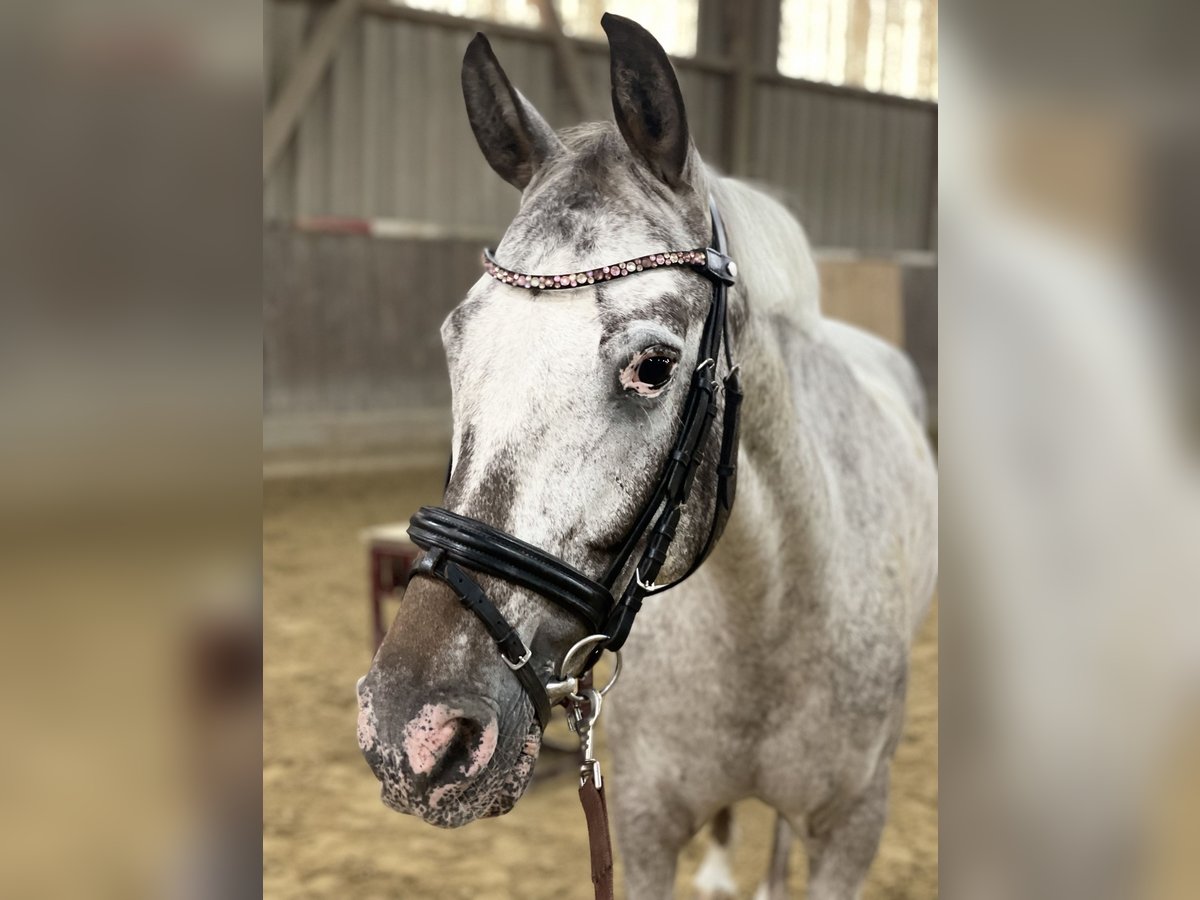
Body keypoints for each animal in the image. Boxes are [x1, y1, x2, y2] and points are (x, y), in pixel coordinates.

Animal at [355, 14, 936, 900]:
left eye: (654, 367)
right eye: (456, 340)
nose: (413, 735)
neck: (766, 619)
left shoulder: (853, 831)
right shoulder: (643, 825)